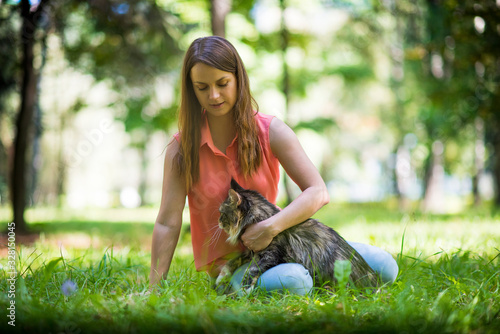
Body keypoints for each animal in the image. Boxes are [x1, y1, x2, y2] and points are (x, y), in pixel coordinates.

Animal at [215, 179, 378, 294]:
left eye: (222, 213)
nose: (218, 221)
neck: (262, 219)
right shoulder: (251, 252)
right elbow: (232, 261)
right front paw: (221, 278)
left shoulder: (271, 254)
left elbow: (252, 270)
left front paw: (245, 287)